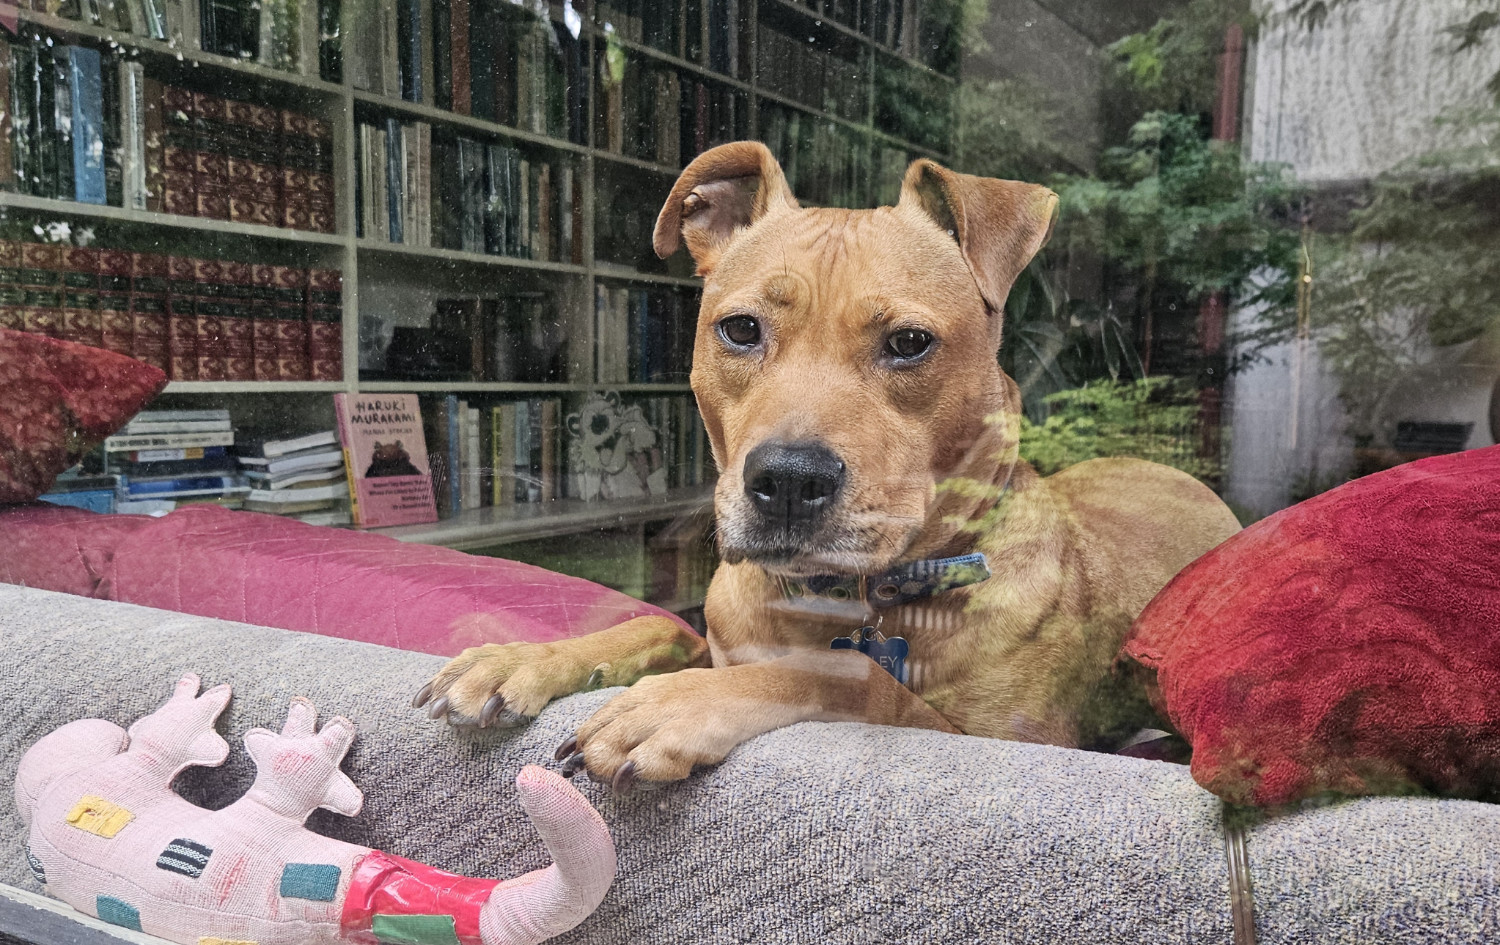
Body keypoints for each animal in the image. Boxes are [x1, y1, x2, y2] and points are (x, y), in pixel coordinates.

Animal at [414, 141, 1242, 792]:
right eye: (740, 329)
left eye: (909, 343)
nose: (787, 480)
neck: (845, 602)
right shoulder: (709, 631)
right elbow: (652, 625)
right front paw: (522, 657)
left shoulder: (1012, 743)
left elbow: (844, 676)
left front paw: (670, 702)